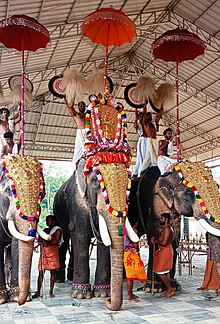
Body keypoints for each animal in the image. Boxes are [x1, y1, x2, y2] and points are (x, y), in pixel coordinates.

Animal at [0, 156, 50, 306]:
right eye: (7, 190)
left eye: (42, 194)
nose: (19, 304)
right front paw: (2, 299)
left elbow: (17, 243)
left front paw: (19, 297)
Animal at [128, 162, 220, 292]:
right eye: (189, 193)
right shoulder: (154, 202)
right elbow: (157, 237)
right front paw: (154, 288)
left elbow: (173, 239)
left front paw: (174, 286)